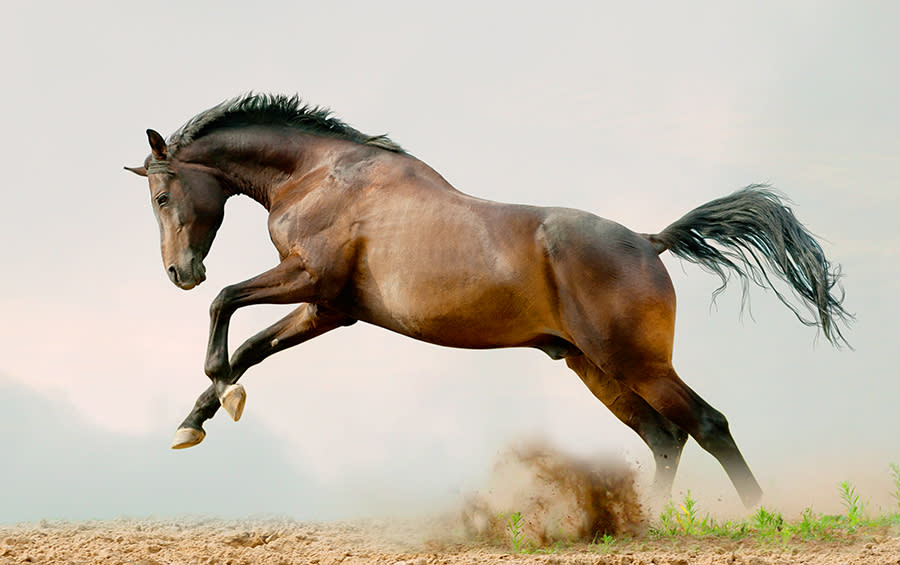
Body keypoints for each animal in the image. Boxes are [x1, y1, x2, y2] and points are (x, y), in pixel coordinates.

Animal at [126, 92, 852, 506]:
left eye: (162, 195)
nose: (179, 271)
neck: (320, 175)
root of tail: (649, 241)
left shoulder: (312, 282)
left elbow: (225, 307)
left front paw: (219, 392)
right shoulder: (331, 308)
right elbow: (250, 345)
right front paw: (198, 418)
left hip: (636, 363)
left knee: (708, 424)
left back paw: (759, 515)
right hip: (595, 367)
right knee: (664, 436)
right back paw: (648, 523)